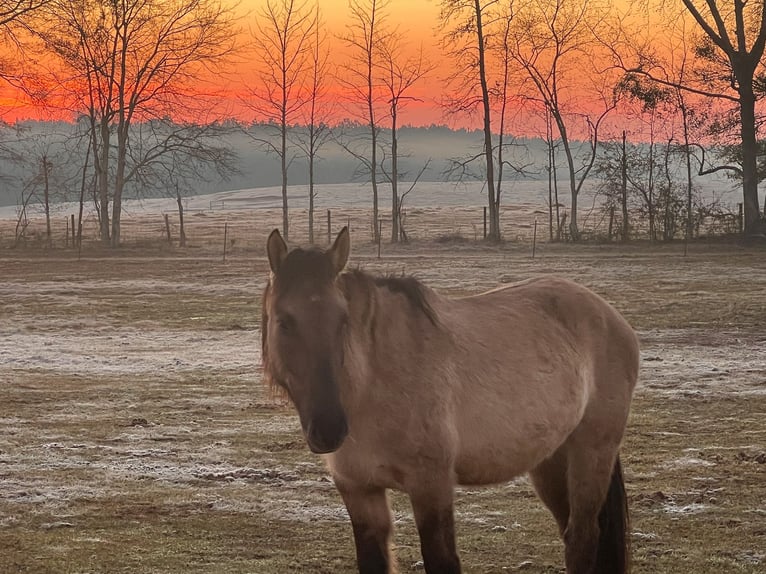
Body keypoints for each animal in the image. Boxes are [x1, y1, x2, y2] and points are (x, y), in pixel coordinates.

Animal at [260, 227, 639, 574]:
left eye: (343, 321)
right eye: (284, 321)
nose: (329, 428)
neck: (373, 386)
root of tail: (610, 316)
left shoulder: (432, 485)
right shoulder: (359, 491)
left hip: (592, 452)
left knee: (583, 538)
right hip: (551, 460)